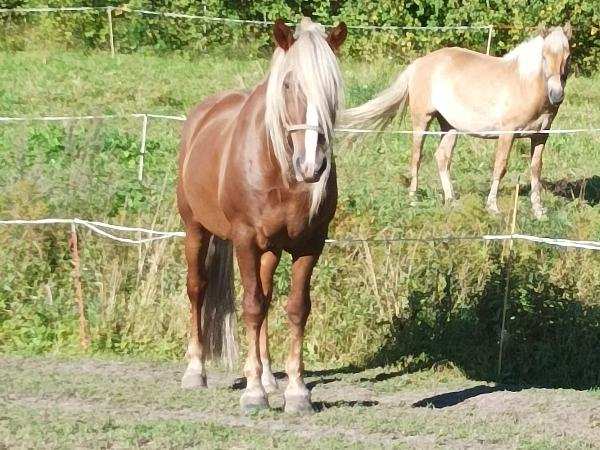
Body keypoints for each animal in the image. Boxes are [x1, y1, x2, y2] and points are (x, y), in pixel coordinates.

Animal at [177, 17, 347, 414]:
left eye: (332, 85)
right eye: (288, 84)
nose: (311, 165)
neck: (280, 171)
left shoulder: (310, 244)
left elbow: (296, 308)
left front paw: (296, 391)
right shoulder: (244, 239)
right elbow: (251, 306)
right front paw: (254, 392)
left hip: (270, 249)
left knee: (267, 296)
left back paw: (270, 378)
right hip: (195, 229)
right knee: (197, 289)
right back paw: (196, 371)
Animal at [342, 25, 572, 219]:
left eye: (567, 56)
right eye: (544, 56)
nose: (556, 95)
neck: (525, 84)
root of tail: (418, 64)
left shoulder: (540, 136)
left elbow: (536, 169)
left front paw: (539, 211)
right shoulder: (507, 133)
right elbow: (500, 166)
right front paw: (493, 208)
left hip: (450, 127)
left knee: (442, 158)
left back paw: (451, 200)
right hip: (421, 121)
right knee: (416, 157)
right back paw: (413, 199)